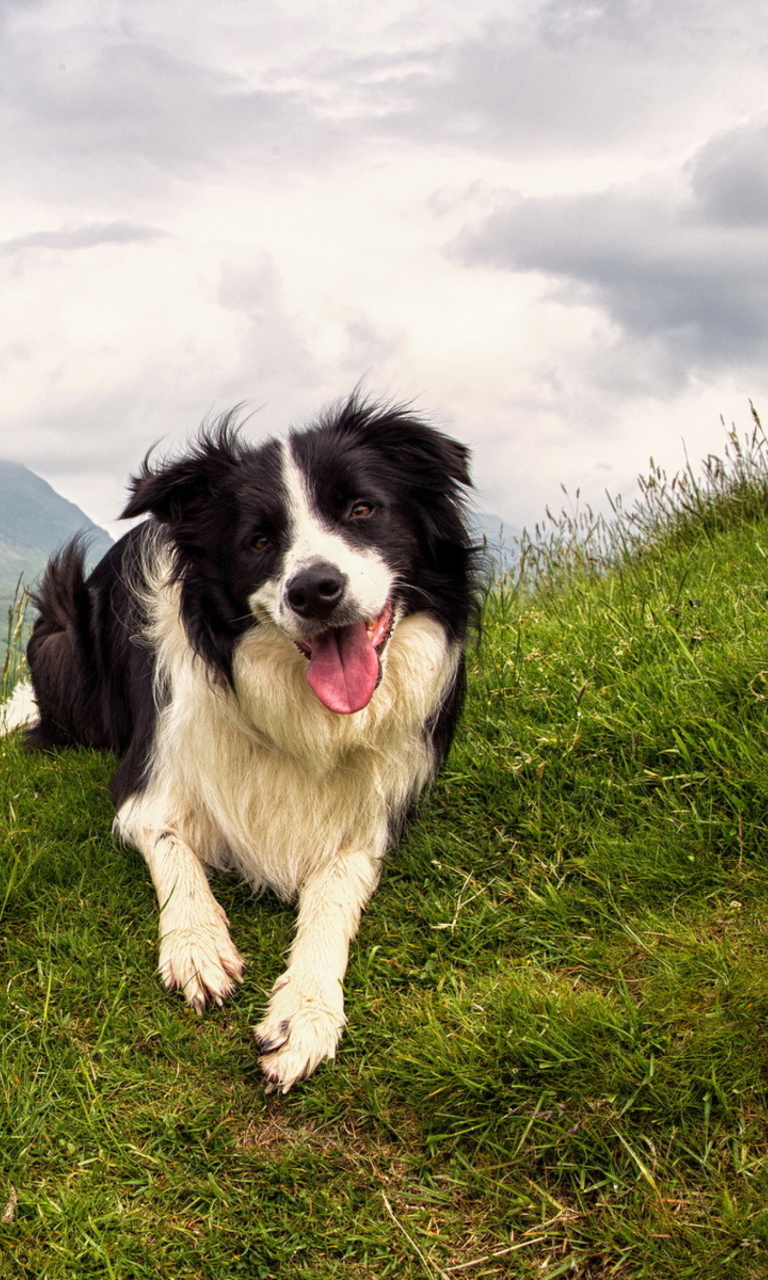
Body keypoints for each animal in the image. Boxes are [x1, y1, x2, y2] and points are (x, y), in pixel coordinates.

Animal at [6, 391, 476, 1090]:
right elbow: (174, 851)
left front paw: (306, 1010)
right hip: (62, 632)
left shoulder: (373, 817)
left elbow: (335, 896)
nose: (314, 590)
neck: (300, 712)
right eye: (258, 541)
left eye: (362, 509)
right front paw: (197, 945)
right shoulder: (147, 783)